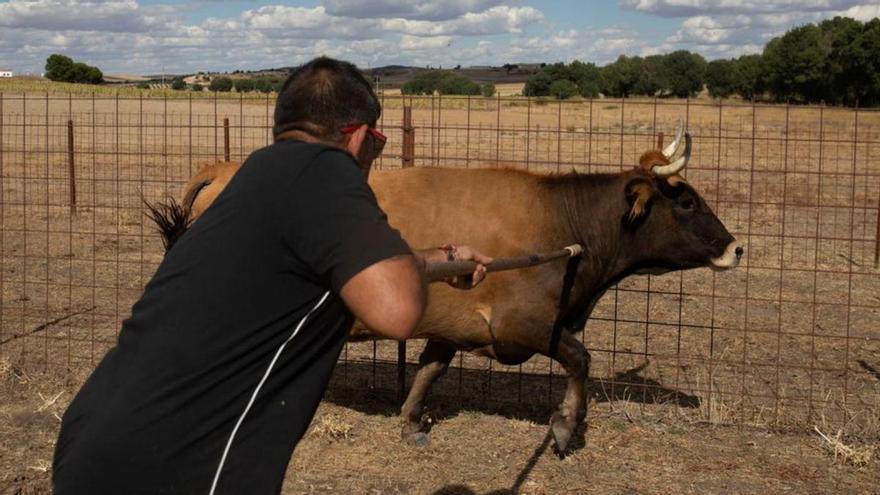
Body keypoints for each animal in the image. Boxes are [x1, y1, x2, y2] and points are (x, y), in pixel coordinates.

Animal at [146, 127, 742, 454]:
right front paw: (566, 426)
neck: (563, 224)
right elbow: (579, 358)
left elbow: (429, 371)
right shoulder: (521, 325)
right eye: (685, 200)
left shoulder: (450, 327)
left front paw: (410, 422)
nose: (736, 248)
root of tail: (224, 167)